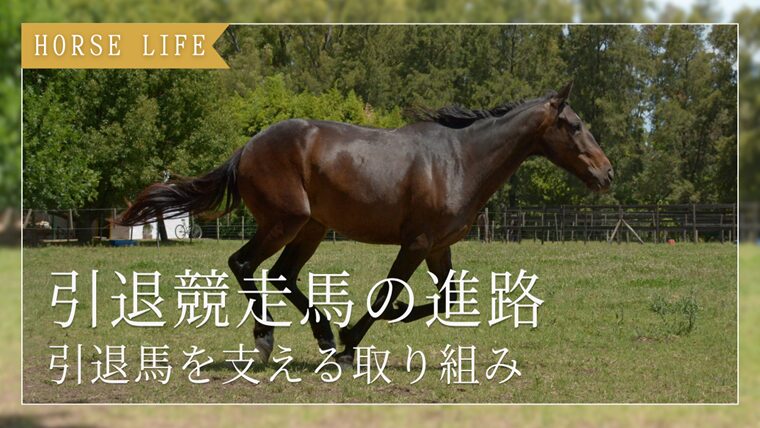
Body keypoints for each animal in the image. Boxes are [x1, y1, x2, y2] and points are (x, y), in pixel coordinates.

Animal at [119, 81, 613, 365]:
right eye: (574, 125)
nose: (607, 173)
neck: (460, 160)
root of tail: (247, 148)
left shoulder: (439, 247)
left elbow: (445, 299)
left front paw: (350, 334)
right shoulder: (416, 243)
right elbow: (387, 294)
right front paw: (352, 339)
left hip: (312, 228)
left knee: (281, 274)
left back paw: (321, 334)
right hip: (287, 221)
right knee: (243, 264)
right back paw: (267, 338)